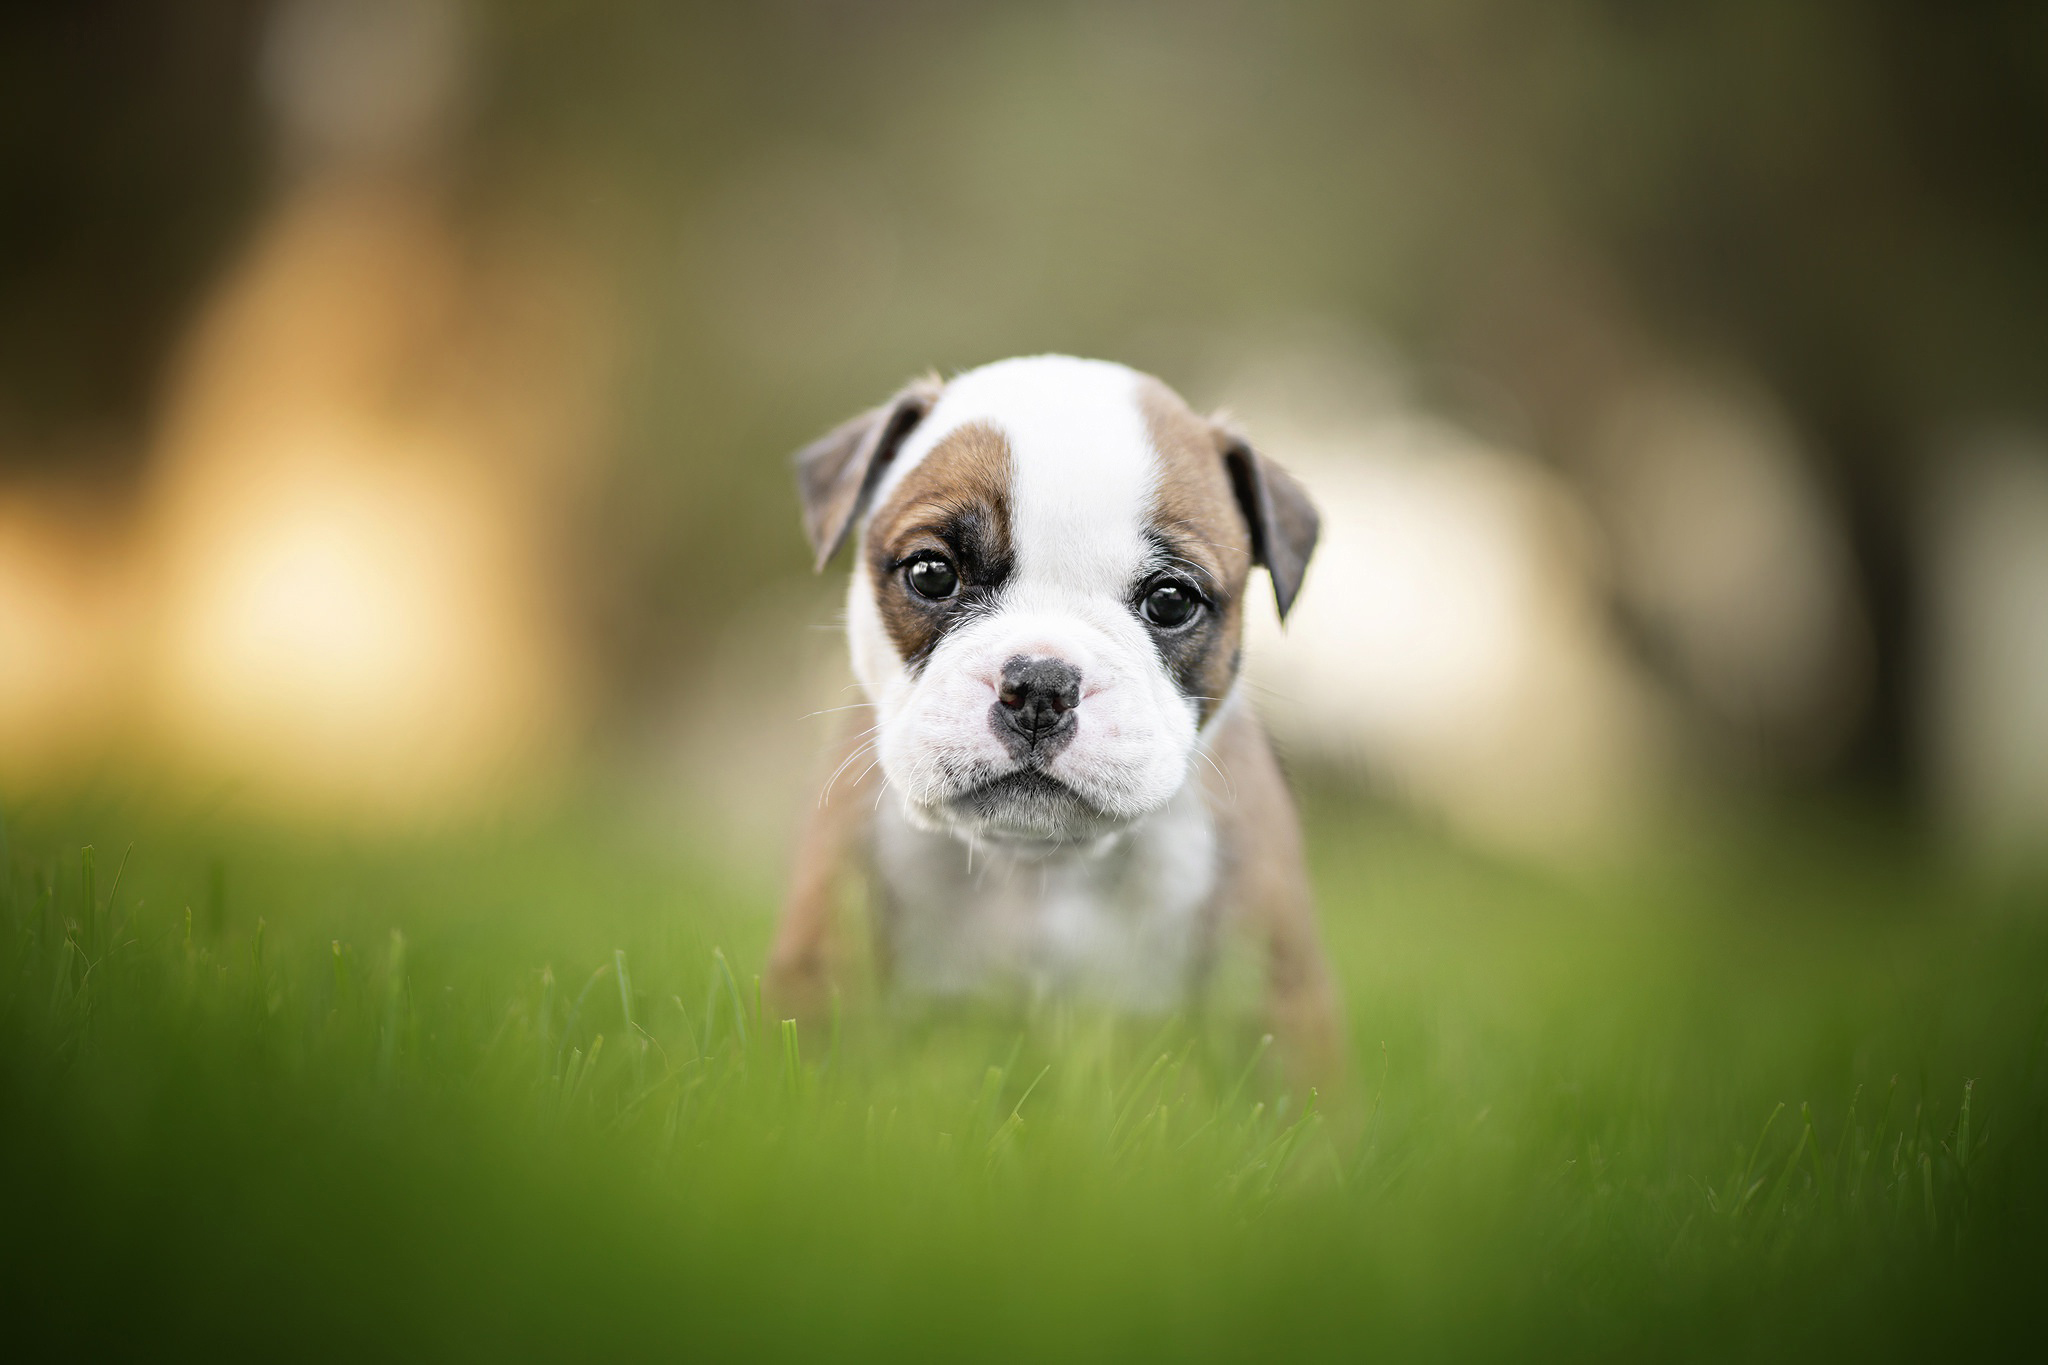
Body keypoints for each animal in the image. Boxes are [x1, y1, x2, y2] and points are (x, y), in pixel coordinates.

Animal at [770, 358, 1343, 1080]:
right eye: (931, 572)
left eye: (1172, 599)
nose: (1040, 686)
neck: (1037, 867)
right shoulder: (822, 961)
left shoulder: (1280, 995)